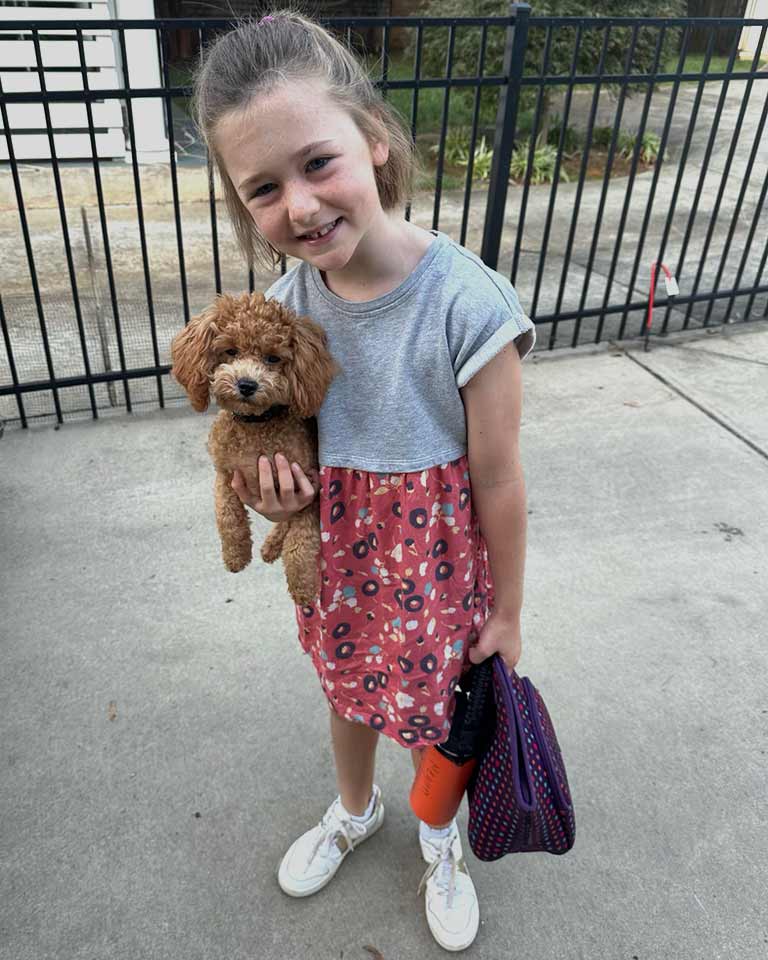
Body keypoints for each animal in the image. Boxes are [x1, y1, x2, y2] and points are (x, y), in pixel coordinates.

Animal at [172, 292, 338, 604]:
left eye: (272, 358)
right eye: (230, 351)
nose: (246, 384)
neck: (256, 426)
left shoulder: (309, 488)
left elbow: (301, 543)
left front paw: (303, 586)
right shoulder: (225, 475)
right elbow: (227, 516)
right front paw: (235, 555)